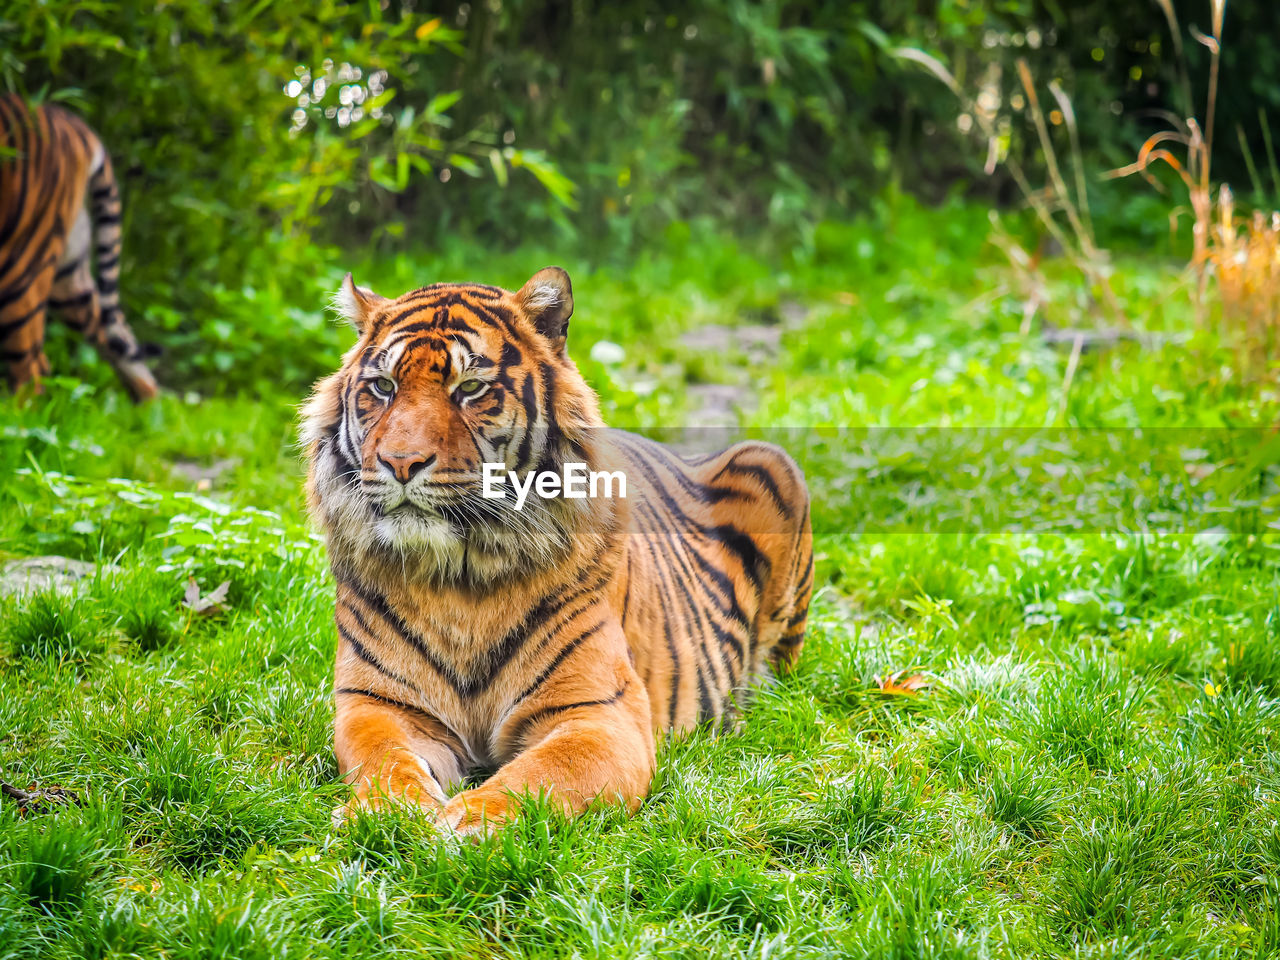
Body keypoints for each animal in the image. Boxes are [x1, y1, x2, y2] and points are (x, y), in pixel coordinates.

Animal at [0, 94, 158, 401]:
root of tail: (74, 125)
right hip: (67, 274)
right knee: (116, 337)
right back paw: (152, 408)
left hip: (19, 272)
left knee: (31, 370)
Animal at [302, 267, 808, 839]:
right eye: (383, 387)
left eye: (470, 388)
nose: (400, 462)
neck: (459, 576)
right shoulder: (378, 704)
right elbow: (384, 760)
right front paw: (388, 813)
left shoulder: (600, 714)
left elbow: (541, 775)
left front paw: (462, 822)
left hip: (771, 462)